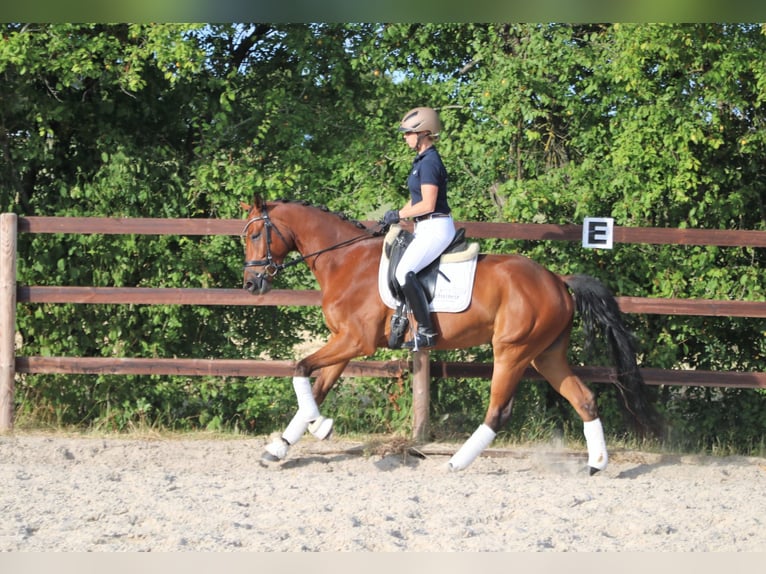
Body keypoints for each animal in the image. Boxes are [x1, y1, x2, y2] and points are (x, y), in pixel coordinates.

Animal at [242, 196, 660, 474]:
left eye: (255, 235)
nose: (251, 284)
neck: (345, 261)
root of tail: (558, 280)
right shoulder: (343, 343)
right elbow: (316, 387)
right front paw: (280, 447)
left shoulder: (355, 342)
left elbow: (300, 369)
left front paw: (320, 426)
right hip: (547, 355)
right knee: (584, 399)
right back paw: (597, 464)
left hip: (512, 351)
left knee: (499, 410)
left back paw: (457, 462)